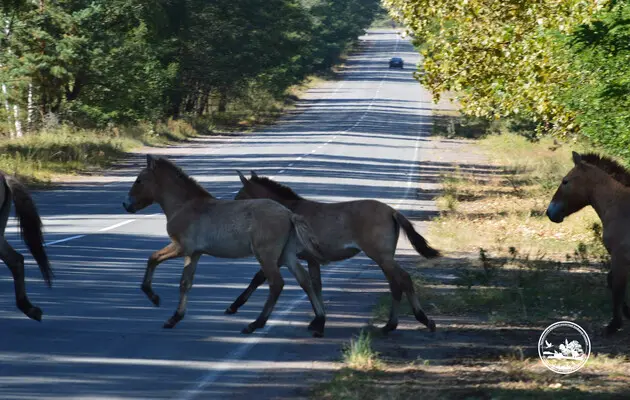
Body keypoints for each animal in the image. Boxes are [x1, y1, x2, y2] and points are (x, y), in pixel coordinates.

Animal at [124, 155, 330, 336]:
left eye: (139, 181)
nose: (126, 205)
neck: (185, 206)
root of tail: (289, 214)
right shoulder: (194, 253)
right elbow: (185, 283)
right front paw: (174, 318)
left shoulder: (181, 247)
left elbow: (153, 258)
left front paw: (154, 297)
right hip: (286, 255)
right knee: (305, 281)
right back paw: (319, 321)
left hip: (266, 255)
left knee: (277, 284)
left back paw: (255, 324)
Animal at [230, 170, 442, 332]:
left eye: (240, 197)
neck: (289, 211)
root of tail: (392, 211)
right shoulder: (310, 259)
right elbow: (315, 285)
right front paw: (317, 320)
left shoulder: (283, 256)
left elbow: (259, 278)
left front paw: (234, 306)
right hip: (384, 258)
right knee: (395, 285)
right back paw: (390, 325)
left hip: (381, 256)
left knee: (403, 279)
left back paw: (424, 320)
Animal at [548, 152, 630, 336]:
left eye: (565, 181)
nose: (550, 212)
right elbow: (613, 282)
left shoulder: (620, 257)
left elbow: (617, 287)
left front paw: (614, 325)